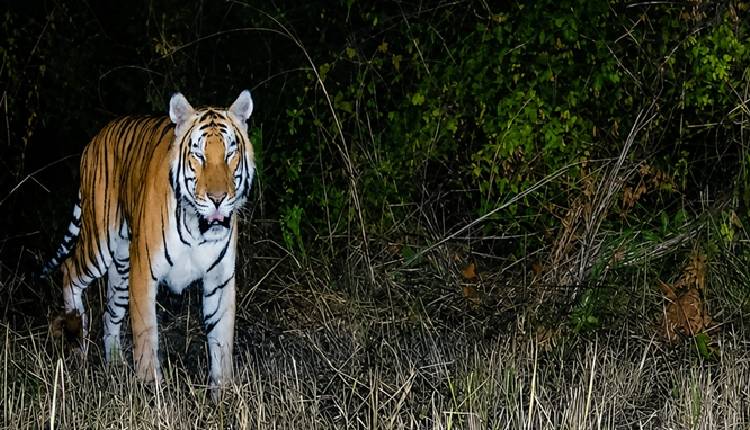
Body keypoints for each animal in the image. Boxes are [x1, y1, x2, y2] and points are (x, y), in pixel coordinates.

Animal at [41, 91, 255, 388]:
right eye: (199, 155)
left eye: (230, 154)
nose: (217, 199)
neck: (197, 229)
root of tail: (95, 138)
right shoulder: (144, 272)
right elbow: (146, 334)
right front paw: (150, 388)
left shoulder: (220, 280)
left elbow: (221, 341)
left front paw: (223, 393)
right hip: (100, 243)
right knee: (69, 268)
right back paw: (76, 335)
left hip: (121, 267)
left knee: (110, 313)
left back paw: (115, 363)